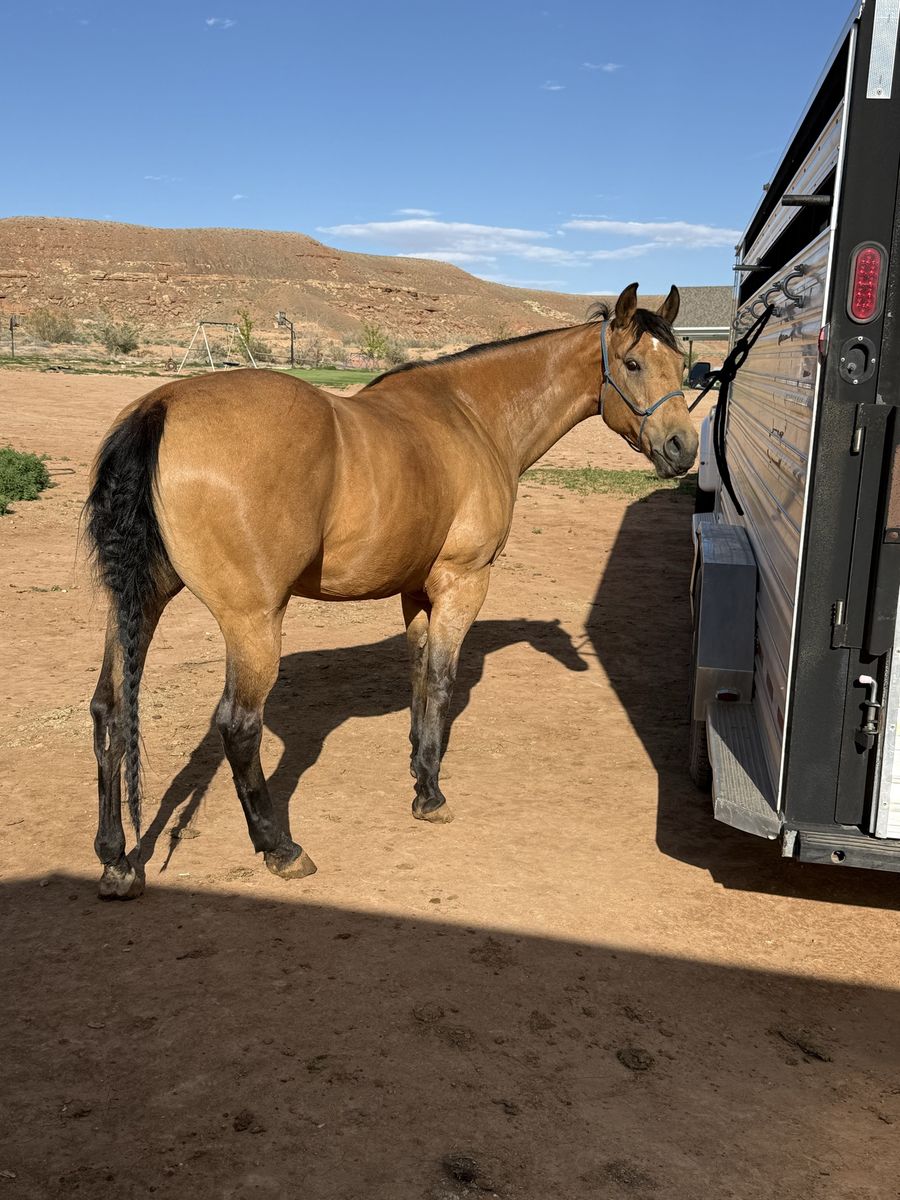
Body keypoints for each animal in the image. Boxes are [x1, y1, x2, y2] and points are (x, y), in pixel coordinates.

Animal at [85, 281, 697, 899]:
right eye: (633, 362)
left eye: (683, 364)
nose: (682, 449)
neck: (472, 415)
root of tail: (160, 407)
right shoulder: (462, 582)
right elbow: (443, 683)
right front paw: (430, 795)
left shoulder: (417, 592)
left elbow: (420, 677)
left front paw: (418, 768)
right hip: (252, 622)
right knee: (238, 726)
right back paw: (280, 848)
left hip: (138, 603)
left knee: (109, 710)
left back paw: (116, 860)